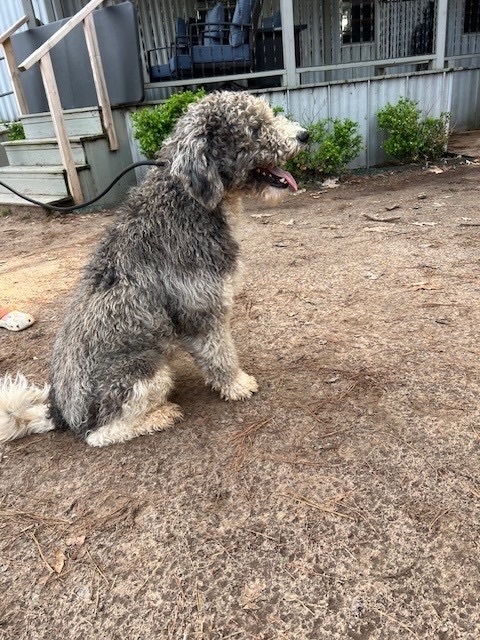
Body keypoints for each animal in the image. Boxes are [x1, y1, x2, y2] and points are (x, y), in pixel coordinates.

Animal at [0, 92, 308, 448]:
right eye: (255, 128)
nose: (304, 135)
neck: (188, 200)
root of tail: (60, 412)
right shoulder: (202, 312)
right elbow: (221, 356)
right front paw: (236, 385)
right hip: (145, 371)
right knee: (99, 434)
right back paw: (160, 416)